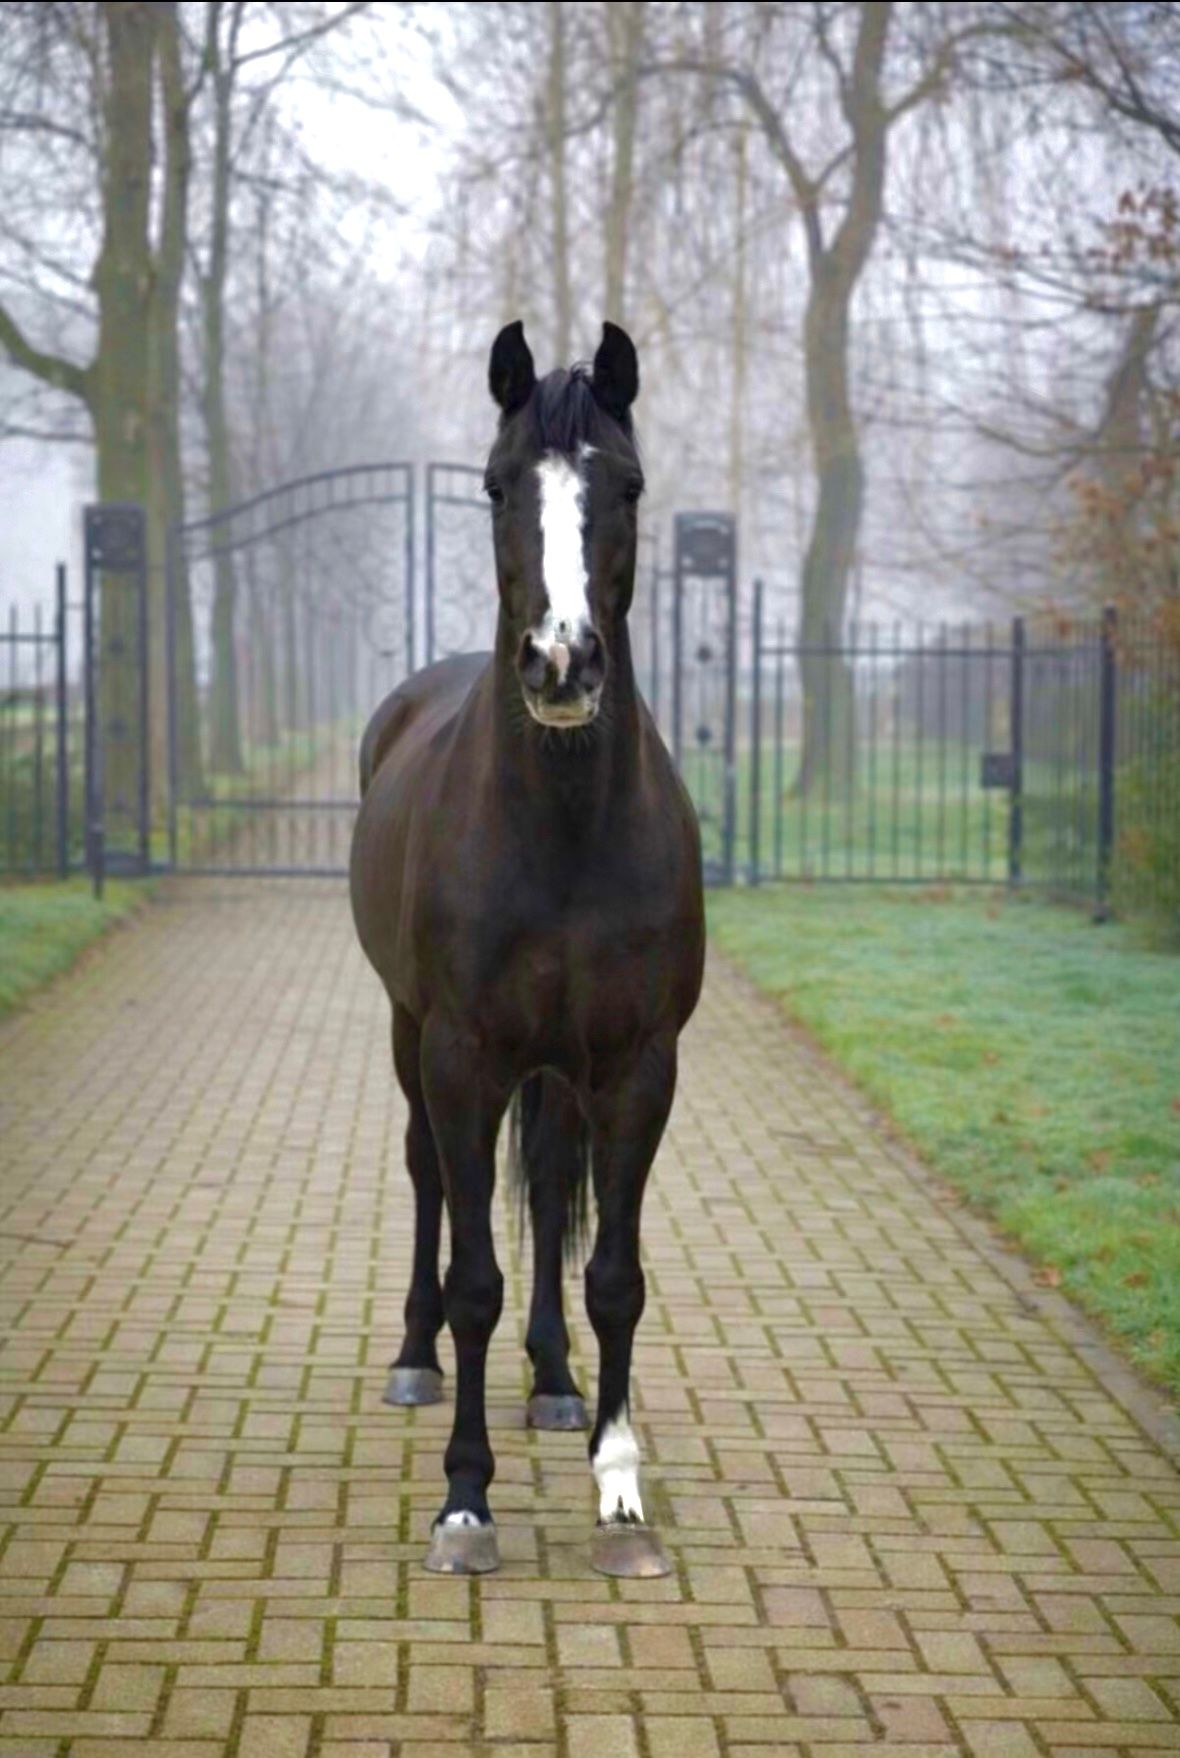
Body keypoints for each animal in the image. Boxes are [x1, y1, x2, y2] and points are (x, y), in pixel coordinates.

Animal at [349, 320, 705, 1577]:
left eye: (629, 485)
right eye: (500, 485)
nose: (561, 665)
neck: (560, 829)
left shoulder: (638, 1067)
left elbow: (613, 1277)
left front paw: (620, 1493)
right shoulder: (461, 1057)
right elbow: (472, 1280)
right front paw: (464, 1501)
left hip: (556, 1068)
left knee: (549, 1188)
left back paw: (553, 1381)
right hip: (411, 1036)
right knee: (425, 1179)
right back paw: (412, 1364)